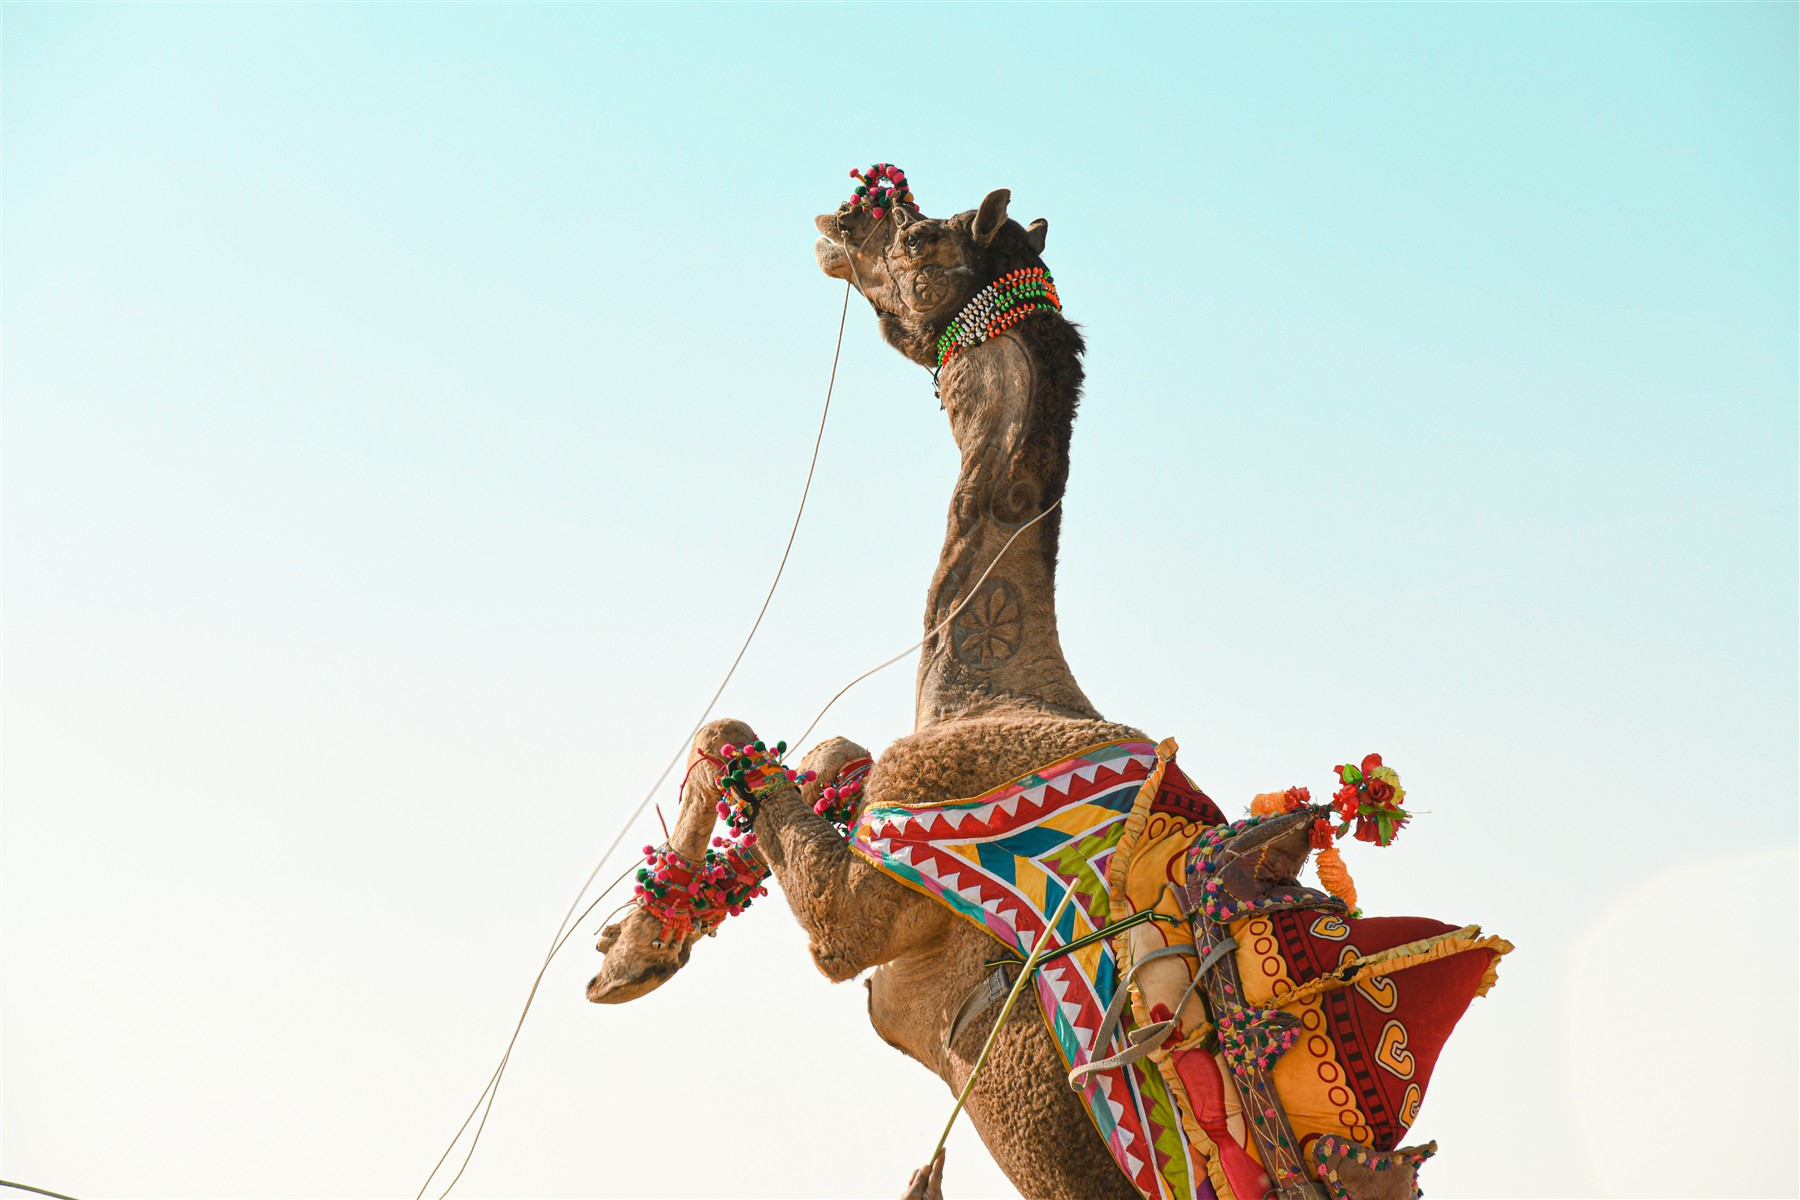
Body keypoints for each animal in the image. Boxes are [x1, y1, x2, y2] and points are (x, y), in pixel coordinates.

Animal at [588, 187, 1434, 1200]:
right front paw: (636, 934)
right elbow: (832, 752)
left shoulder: (871, 901)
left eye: (918, 236)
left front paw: (632, 958)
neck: (989, 684)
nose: (841, 220)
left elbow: (735, 735)